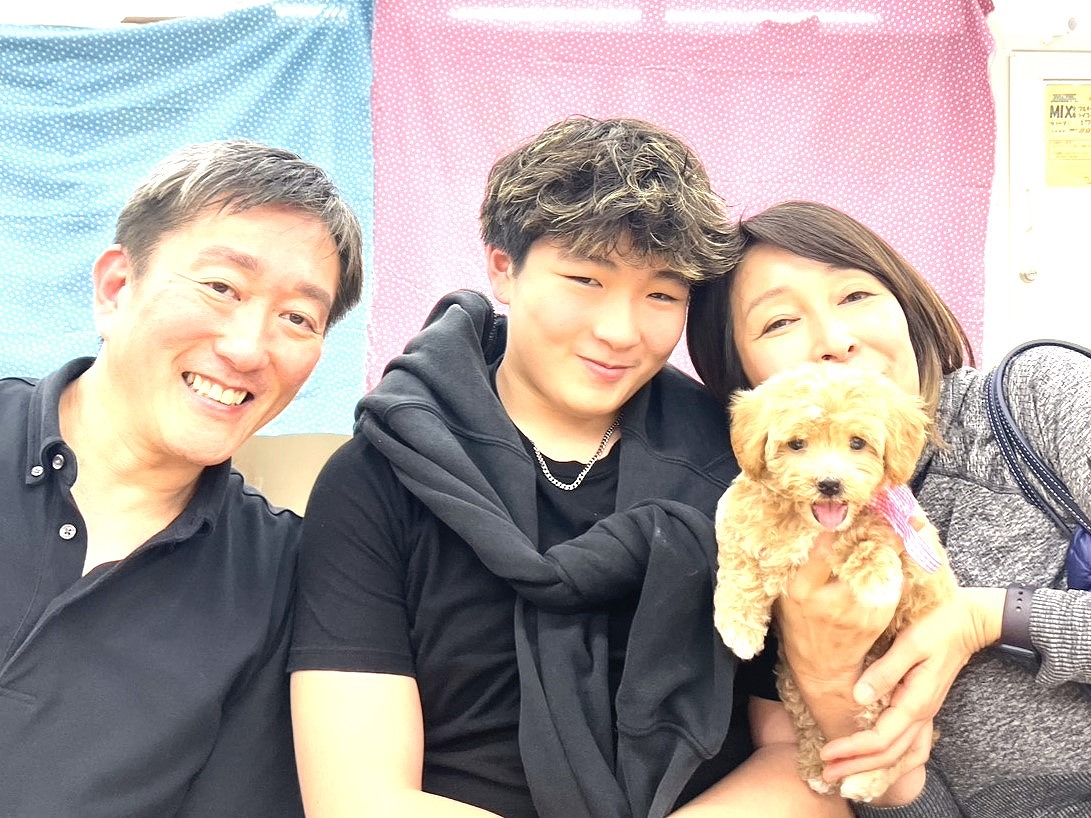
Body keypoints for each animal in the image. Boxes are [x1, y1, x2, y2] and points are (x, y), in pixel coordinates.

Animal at [712, 362, 956, 802]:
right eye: (796, 444)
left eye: (857, 443)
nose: (829, 483)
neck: (807, 521)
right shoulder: (738, 514)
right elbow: (738, 564)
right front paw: (738, 628)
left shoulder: (895, 530)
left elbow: (870, 537)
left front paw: (876, 578)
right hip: (794, 684)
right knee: (814, 726)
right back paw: (818, 770)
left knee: (886, 741)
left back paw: (863, 780)